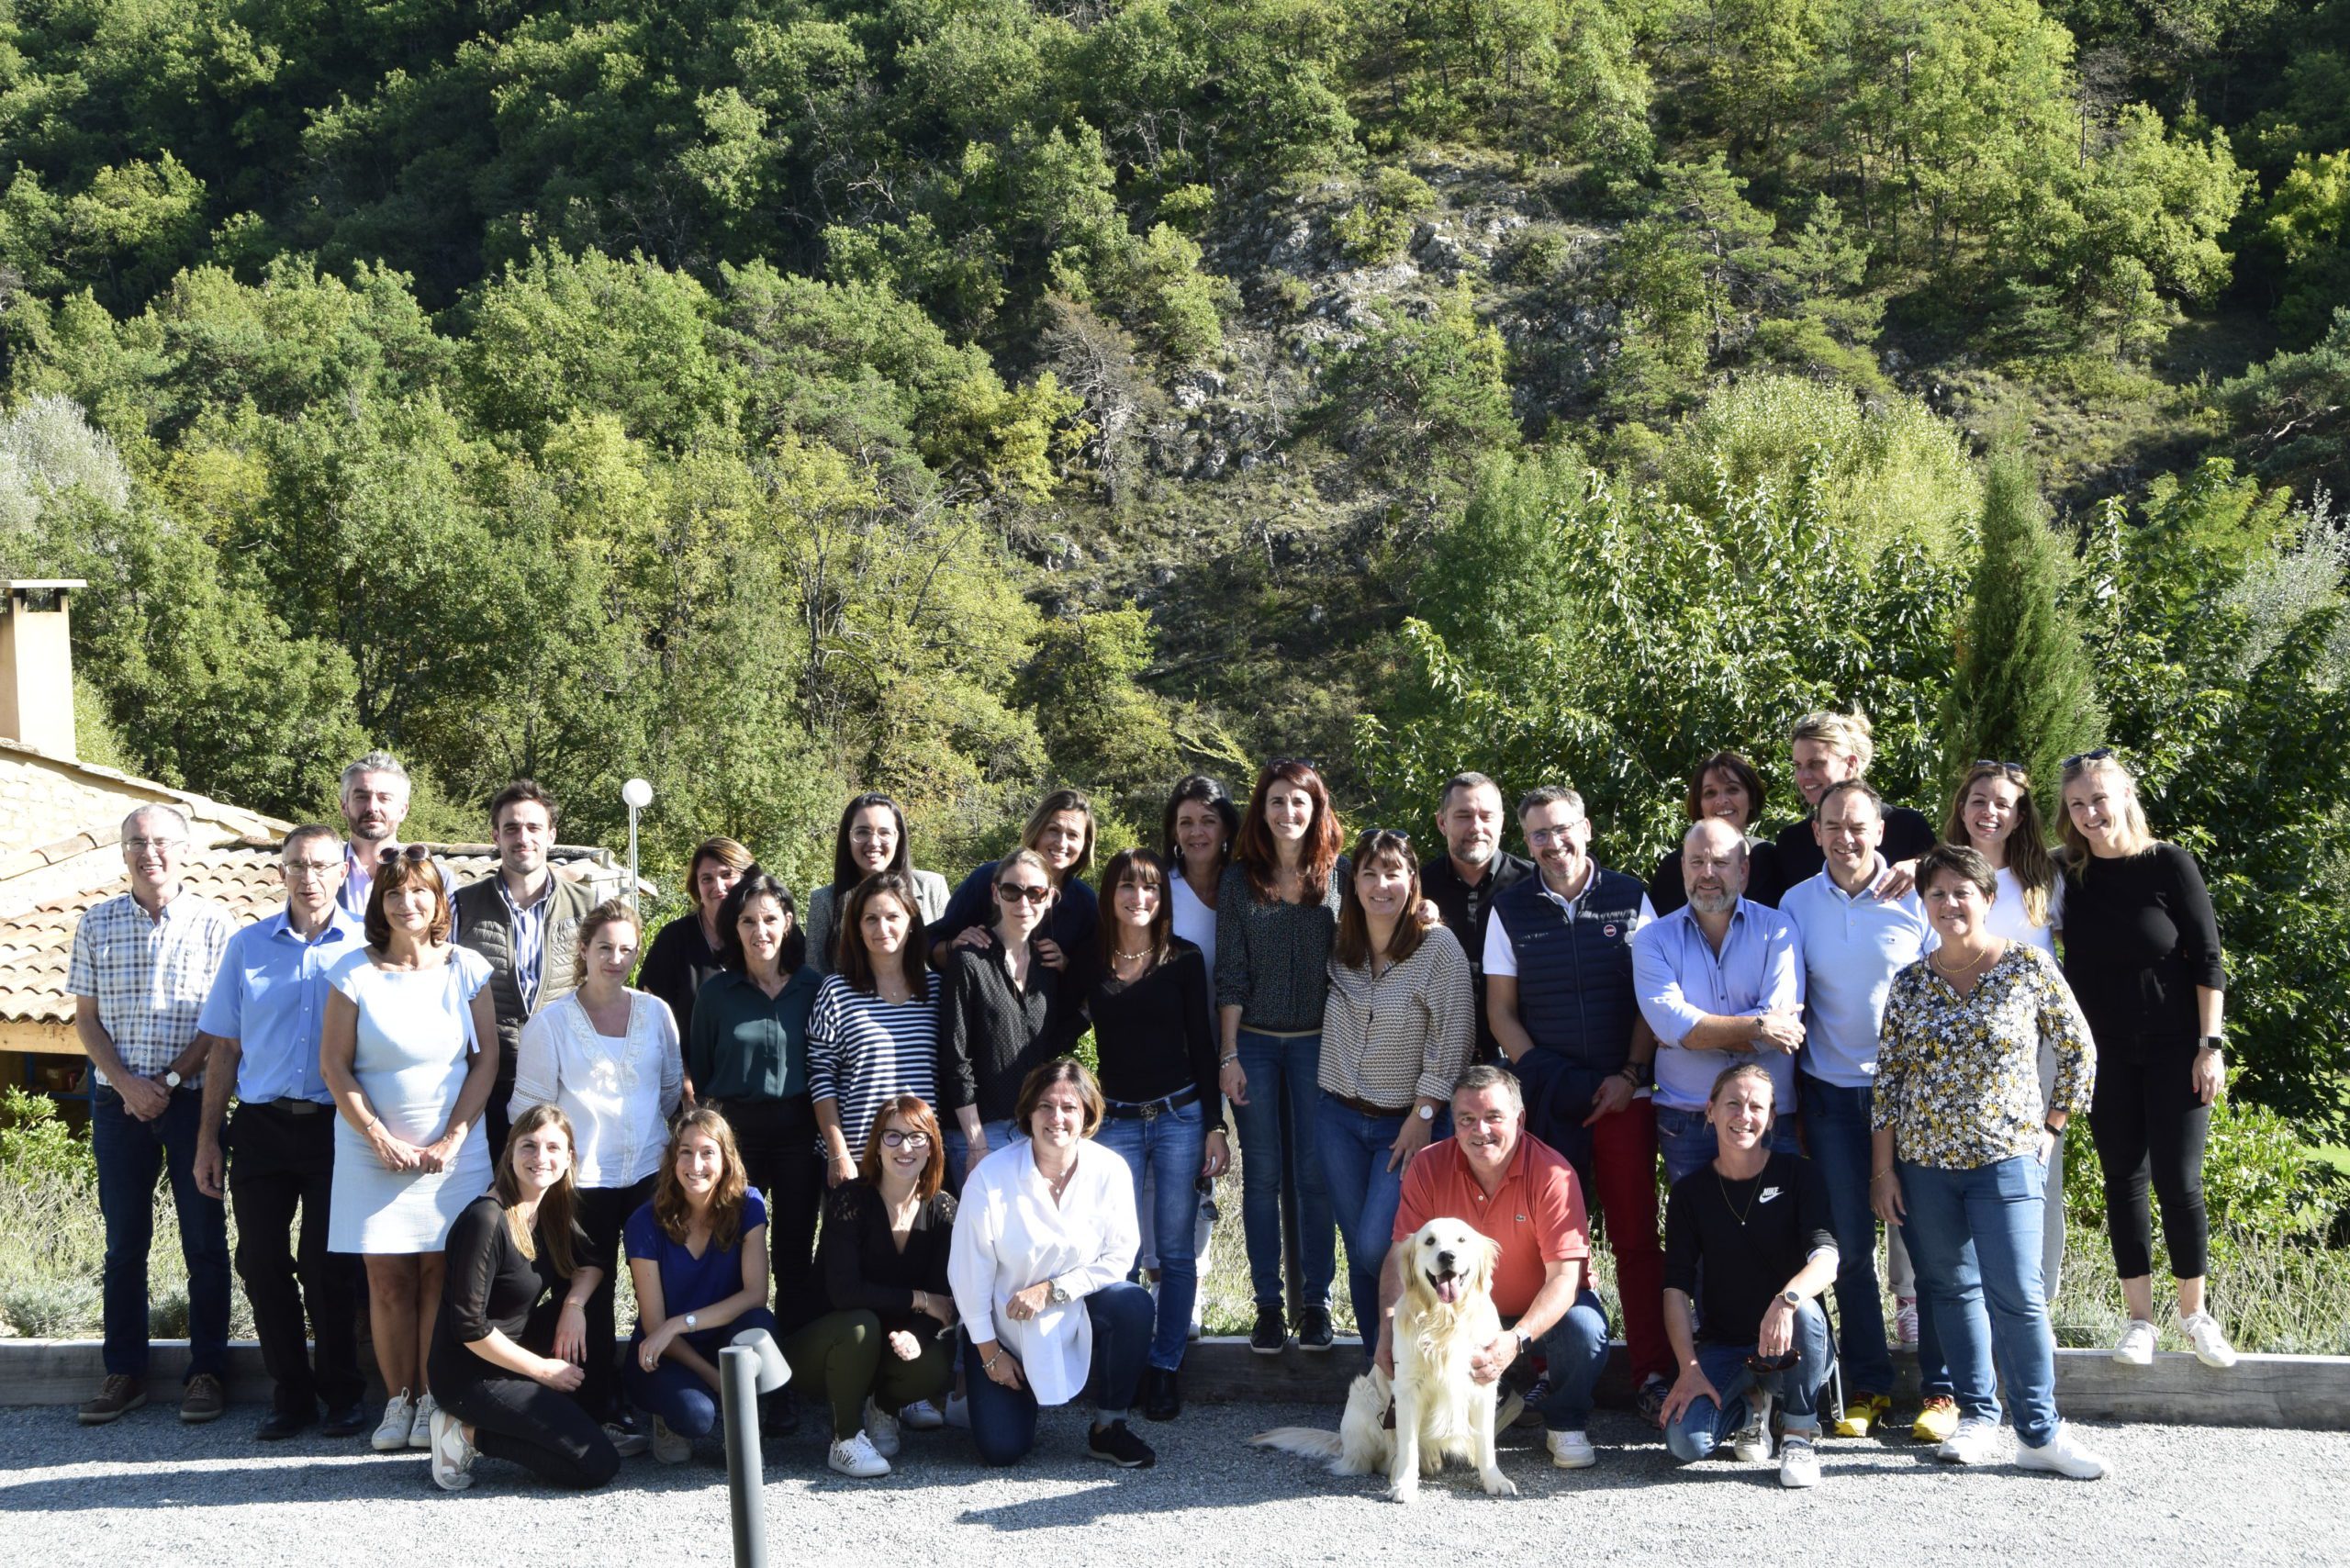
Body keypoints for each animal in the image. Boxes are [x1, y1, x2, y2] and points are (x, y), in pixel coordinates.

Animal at [1240, 1222, 1513, 1504]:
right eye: (1429, 1241)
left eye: (1461, 1240)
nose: (1447, 1256)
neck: (1445, 1322)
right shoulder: (1407, 1390)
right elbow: (1408, 1445)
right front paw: (1404, 1484)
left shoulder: (1483, 1382)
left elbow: (1486, 1442)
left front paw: (1495, 1480)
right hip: (1362, 1395)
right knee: (1373, 1459)